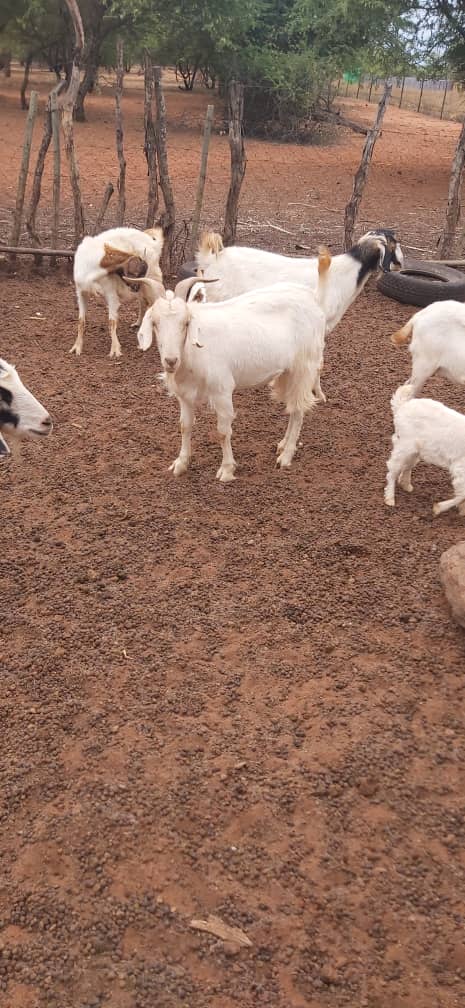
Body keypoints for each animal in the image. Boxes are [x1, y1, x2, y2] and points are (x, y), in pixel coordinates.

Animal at [71, 226, 164, 358]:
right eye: (135, 272)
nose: (135, 287)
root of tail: (155, 243)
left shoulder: (111, 293)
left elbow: (112, 322)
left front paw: (115, 350)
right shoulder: (81, 292)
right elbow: (81, 321)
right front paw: (77, 347)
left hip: (152, 282)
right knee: (143, 303)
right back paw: (138, 323)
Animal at [125, 253, 331, 482]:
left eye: (186, 323)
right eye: (155, 323)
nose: (171, 361)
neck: (192, 352)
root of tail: (313, 299)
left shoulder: (222, 390)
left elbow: (223, 431)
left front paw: (226, 469)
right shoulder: (184, 395)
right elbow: (184, 426)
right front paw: (180, 463)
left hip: (304, 367)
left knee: (298, 410)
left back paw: (286, 457)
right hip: (287, 372)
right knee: (292, 407)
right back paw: (282, 444)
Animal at [385, 384, 465, 516]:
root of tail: (403, 406)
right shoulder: (460, 468)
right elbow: (462, 494)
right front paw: (438, 508)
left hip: (415, 450)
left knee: (407, 466)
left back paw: (406, 485)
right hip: (404, 446)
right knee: (393, 470)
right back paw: (390, 498)